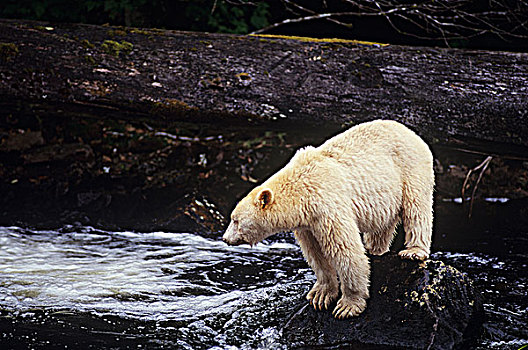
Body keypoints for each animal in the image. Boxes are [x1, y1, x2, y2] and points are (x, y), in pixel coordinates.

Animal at [223, 120, 434, 320]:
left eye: (235, 220)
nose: (225, 238)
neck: (301, 190)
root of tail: (411, 132)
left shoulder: (327, 206)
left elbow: (345, 250)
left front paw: (348, 306)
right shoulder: (307, 223)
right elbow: (314, 253)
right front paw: (320, 295)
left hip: (410, 168)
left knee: (416, 207)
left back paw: (413, 251)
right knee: (382, 223)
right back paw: (375, 249)